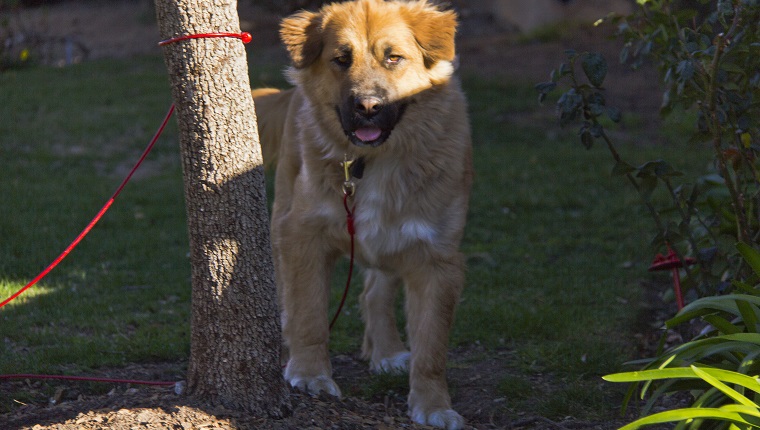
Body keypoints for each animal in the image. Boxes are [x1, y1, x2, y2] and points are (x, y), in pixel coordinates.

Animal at [252, 1, 472, 428]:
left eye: (394, 58)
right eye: (341, 58)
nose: (368, 107)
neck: (373, 162)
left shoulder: (436, 258)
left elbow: (432, 348)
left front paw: (434, 406)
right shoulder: (303, 234)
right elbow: (309, 313)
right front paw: (309, 373)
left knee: (374, 292)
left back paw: (386, 351)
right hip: (283, 214)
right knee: (289, 296)